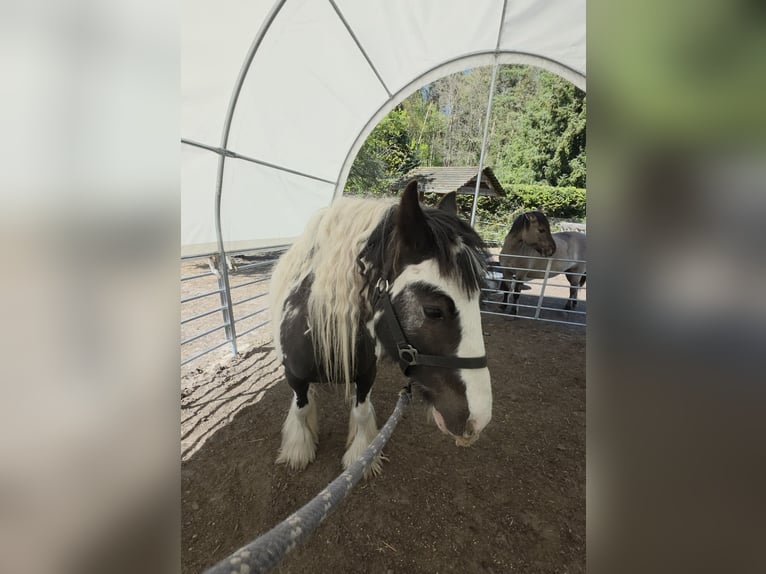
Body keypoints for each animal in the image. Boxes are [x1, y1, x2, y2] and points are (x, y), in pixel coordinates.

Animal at [269, 181, 492, 476]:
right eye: (433, 311)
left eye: (479, 300)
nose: (478, 418)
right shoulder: (294, 376)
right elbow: (301, 408)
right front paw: (298, 449)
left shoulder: (366, 374)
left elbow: (361, 412)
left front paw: (361, 456)